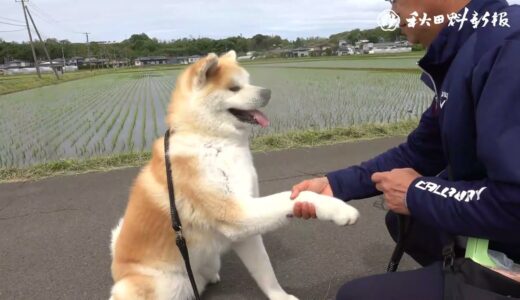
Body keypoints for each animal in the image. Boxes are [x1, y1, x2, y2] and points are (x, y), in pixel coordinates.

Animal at [110, 50, 360, 298]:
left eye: (248, 81)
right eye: (234, 88)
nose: (267, 92)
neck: (215, 141)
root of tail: (118, 269)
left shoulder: (245, 226)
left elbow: (265, 271)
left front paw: (279, 296)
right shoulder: (235, 212)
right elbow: (294, 197)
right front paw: (340, 210)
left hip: (208, 262)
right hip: (162, 285)